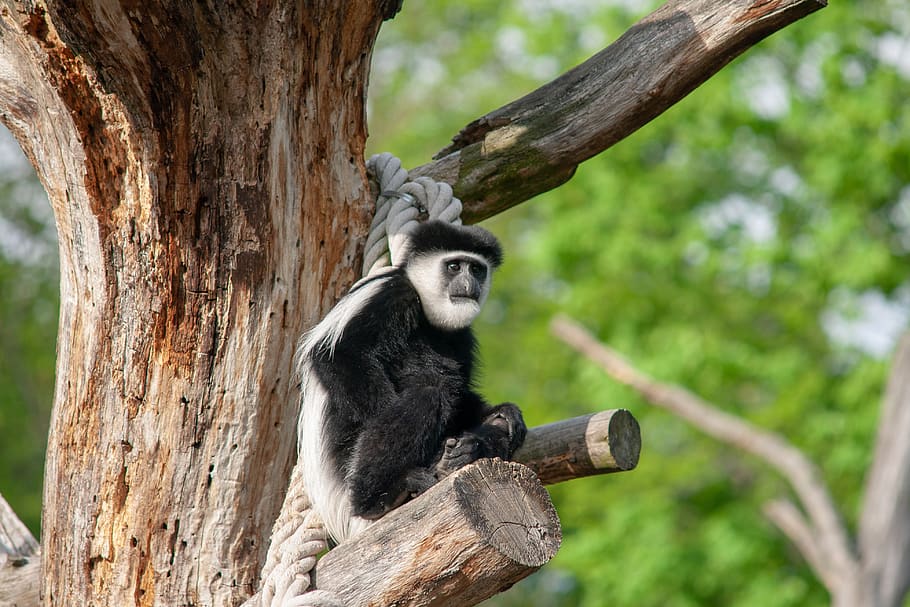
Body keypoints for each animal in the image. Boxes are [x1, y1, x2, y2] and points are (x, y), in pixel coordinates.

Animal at [300, 221, 528, 544]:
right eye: (454, 266)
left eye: (477, 269)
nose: (469, 285)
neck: (427, 308)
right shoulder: (389, 295)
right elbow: (339, 355)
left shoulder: (462, 336)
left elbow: (461, 395)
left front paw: (501, 412)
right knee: (427, 395)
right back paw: (379, 497)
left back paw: (464, 452)